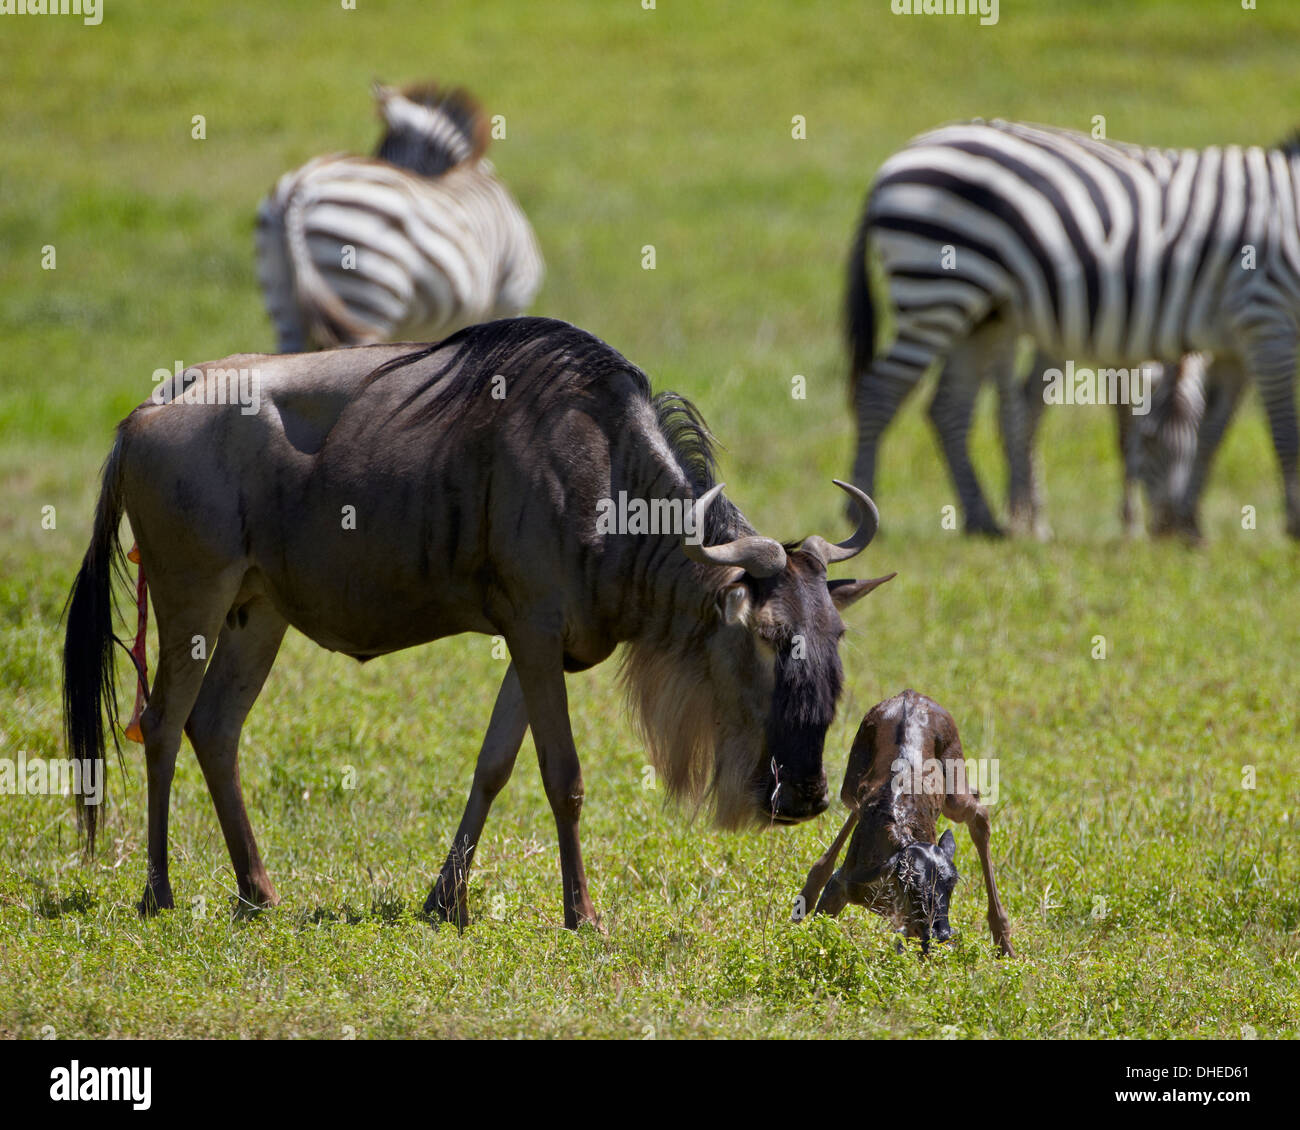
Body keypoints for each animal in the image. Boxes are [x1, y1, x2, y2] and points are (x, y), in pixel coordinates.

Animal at [790, 686, 1013, 951]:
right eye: (911, 886)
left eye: (952, 884)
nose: (942, 934)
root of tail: (911, 693)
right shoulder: (842, 883)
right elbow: (819, 929)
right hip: (851, 781)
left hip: (954, 774)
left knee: (977, 809)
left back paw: (1004, 941)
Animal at [847, 118, 1300, 538]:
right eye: (1154, 441)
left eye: (1183, 439)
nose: (1162, 527)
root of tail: (895, 163)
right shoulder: (1266, 319)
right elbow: (1282, 426)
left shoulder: (1209, 343)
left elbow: (1206, 429)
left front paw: (1160, 522)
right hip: (937, 294)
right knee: (881, 391)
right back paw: (863, 511)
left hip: (981, 313)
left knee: (951, 406)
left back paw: (987, 520)